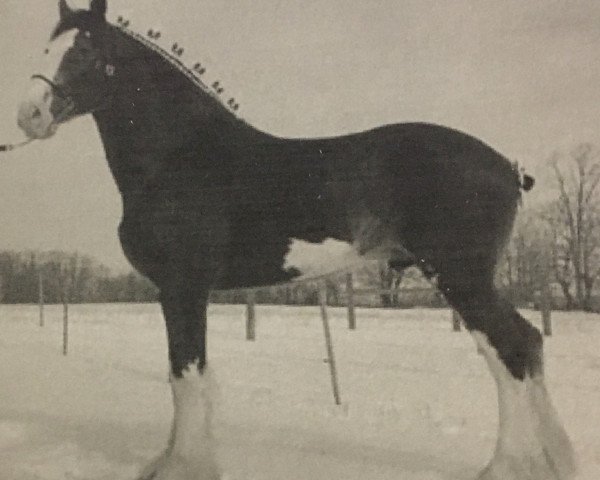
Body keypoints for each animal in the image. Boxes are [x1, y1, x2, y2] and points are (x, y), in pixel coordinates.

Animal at [15, 0, 576, 480]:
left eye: (83, 51)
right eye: (44, 48)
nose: (29, 116)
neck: (182, 156)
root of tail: (507, 167)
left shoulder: (183, 286)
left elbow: (186, 376)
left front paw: (184, 468)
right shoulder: (177, 292)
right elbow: (186, 374)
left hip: (462, 277)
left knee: (511, 350)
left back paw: (505, 467)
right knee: (523, 345)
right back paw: (556, 460)